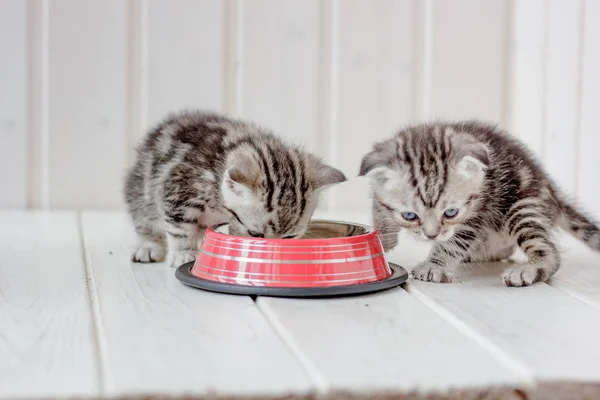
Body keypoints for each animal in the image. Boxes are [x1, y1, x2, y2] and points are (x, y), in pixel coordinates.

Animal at [123, 108, 346, 268]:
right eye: (255, 234)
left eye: (289, 238)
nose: (271, 255)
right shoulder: (178, 186)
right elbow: (180, 227)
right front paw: (184, 253)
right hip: (140, 192)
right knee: (145, 220)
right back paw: (148, 246)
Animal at [358, 120, 596, 286]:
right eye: (409, 216)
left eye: (451, 213)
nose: (432, 236)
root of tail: (548, 186)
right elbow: (379, 205)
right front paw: (383, 238)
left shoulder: (476, 212)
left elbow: (453, 243)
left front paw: (433, 266)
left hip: (522, 206)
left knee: (546, 248)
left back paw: (528, 270)